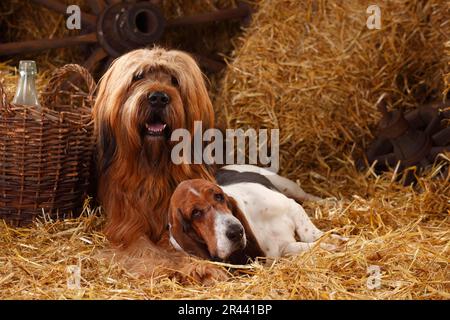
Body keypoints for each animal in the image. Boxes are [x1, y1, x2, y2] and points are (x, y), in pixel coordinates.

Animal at [95, 47, 229, 282]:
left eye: (175, 80)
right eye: (138, 76)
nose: (158, 97)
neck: (154, 168)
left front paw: (200, 267)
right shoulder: (127, 226)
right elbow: (143, 247)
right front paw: (161, 266)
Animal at [170, 165, 344, 264]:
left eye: (219, 196)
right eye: (195, 213)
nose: (236, 232)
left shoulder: (291, 206)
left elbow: (310, 233)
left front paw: (334, 240)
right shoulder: (283, 248)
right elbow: (304, 246)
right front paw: (329, 246)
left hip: (287, 186)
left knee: (308, 197)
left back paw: (332, 202)